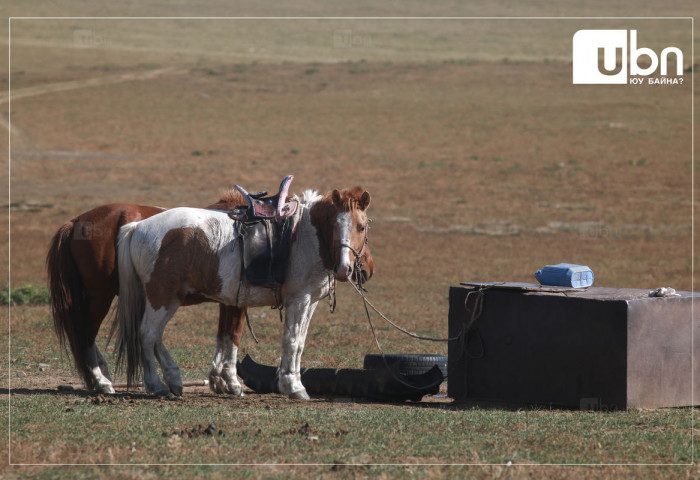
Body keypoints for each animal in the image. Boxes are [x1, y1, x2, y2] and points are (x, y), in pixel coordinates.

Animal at [46, 189, 374, 392]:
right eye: (340, 226)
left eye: (362, 226)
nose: (354, 269)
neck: (302, 235)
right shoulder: (296, 300)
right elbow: (284, 341)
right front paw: (287, 386)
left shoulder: (266, 301)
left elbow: (239, 336)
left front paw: (226, 381)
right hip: (121, 296)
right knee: (121, 335)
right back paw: (130, 383)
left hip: (161, 298)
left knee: (148, 336)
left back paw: (165, 379)